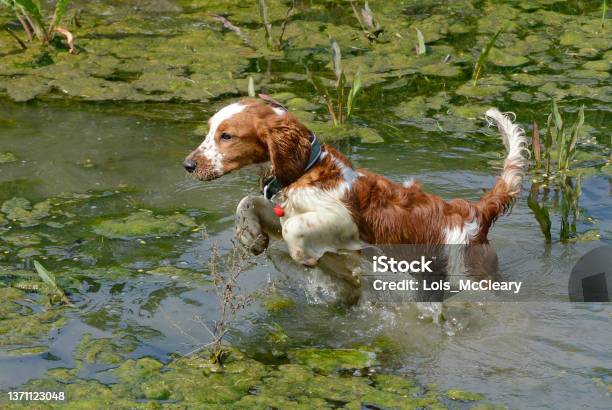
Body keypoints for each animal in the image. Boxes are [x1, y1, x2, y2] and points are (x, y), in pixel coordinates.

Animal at [184, 98, 528, 280]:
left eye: (226, 136)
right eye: (210, 131)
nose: (188, 165)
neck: (307, 171)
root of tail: (476, 212)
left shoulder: (345, 224)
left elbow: (296, 229)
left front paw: (303, 256)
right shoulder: (284, 210)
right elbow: (249, 202)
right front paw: (250, 237)